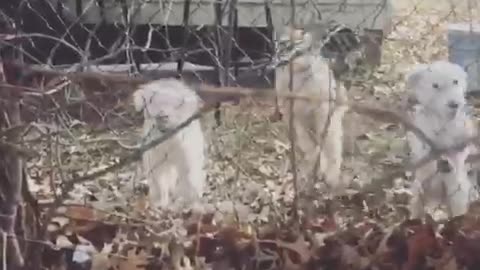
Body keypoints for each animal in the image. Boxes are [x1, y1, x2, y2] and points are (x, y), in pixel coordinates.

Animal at [133, 78, 206, 209]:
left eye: (177, 105)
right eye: (152, 101)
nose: (163, 115)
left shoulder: (188, 155)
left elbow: (189, 178)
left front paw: (192, 204)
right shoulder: (154, 158)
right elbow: (159, 179)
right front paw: (161, 202)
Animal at [404, 60, 480, 218]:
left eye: (455, 81)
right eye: (435, 85)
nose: (454, 104)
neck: (443, 119)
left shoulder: (462, 136)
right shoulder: (422, 133)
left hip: (457, 192)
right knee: (418, 201)